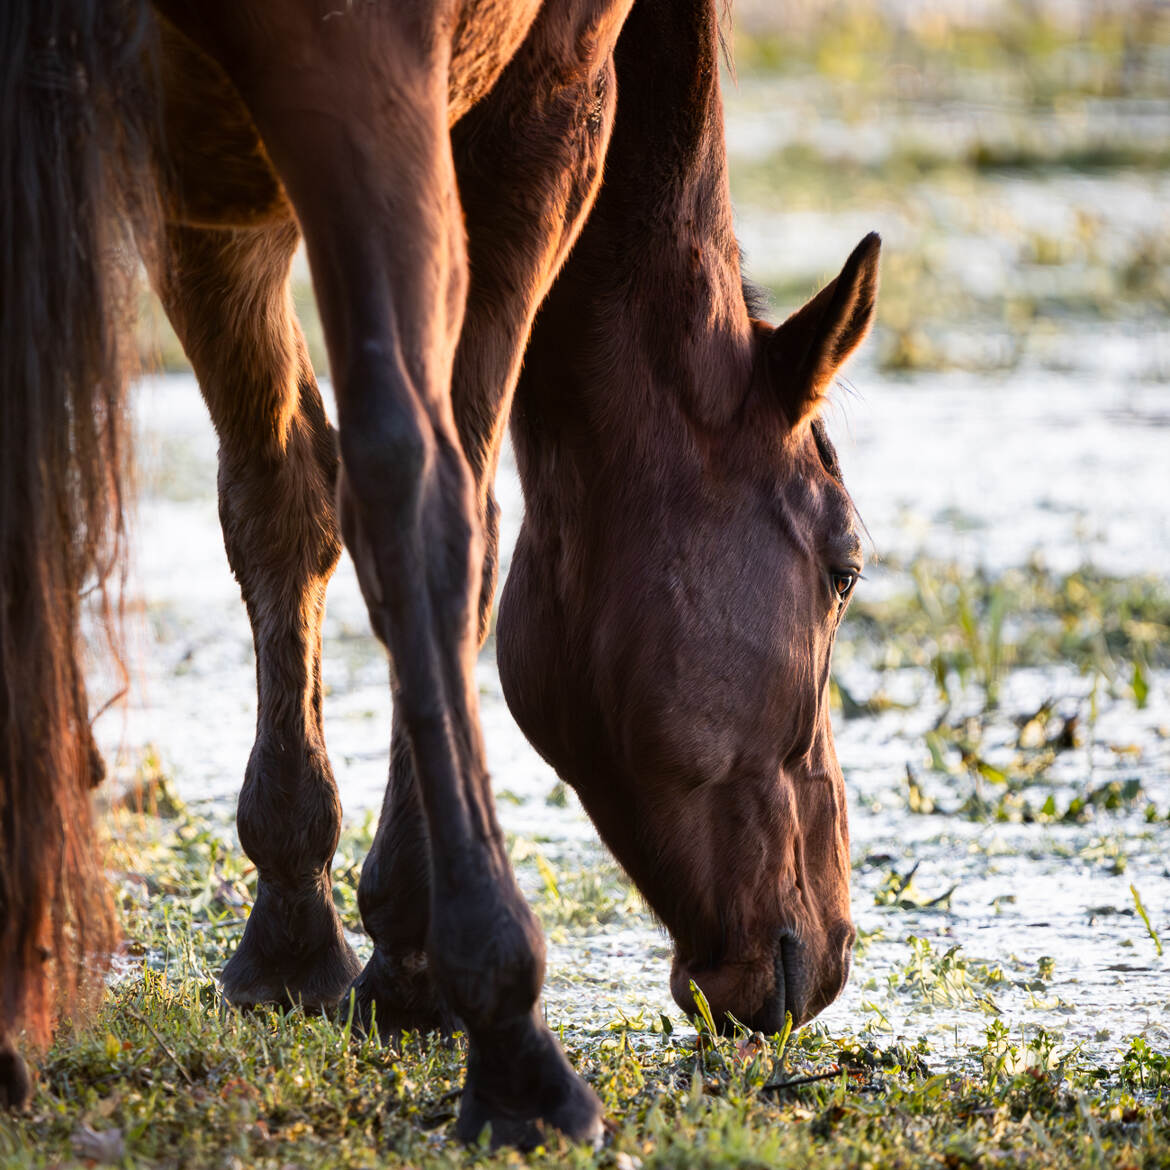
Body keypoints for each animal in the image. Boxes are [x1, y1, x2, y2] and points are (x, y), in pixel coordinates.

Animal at [2, 0, 879, 1141]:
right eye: (844, 566)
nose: (829, 953)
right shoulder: (547, 106)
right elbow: (457, 514)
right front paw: (404, 957)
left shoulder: (196, 175)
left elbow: (276, 492)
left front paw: (290, 931)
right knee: (413, 490)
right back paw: (517, 1058)